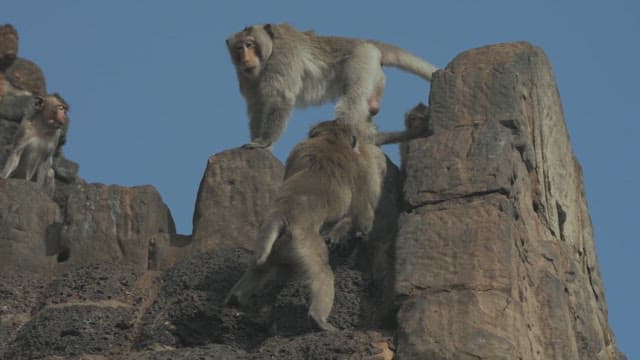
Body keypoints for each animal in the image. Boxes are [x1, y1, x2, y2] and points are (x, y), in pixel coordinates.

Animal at [225, 120, 384, 332]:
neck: (331, 140)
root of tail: (281, 215)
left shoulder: (299, 148)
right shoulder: (361, 165)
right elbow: (363, 213)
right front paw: (359, 231)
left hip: (277, 243)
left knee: (261, 267)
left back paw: (235, 299)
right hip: (303, 243)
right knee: (322, 272)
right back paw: (318, 319)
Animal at [226, 22, 440, 149]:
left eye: (250, 44)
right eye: (239, 48)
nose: (244, 57)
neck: (267, 55)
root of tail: (365, 43)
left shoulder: (281, 57)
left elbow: (281, 97)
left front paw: (264, 142)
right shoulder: (245, 76)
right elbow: (257, 106)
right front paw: (259, 140)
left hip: (361, 61)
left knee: (354, 97)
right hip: (376, 74)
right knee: (368, 105)